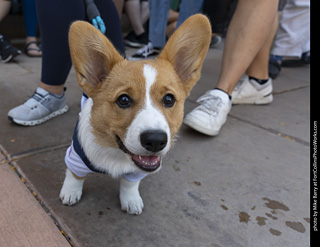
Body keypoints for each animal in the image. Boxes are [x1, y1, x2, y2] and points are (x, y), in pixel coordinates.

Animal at [59, 14, 211, 214]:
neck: (116, 152)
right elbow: (75, 176)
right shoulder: (75, 157)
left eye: (169, 99)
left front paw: (131, 200)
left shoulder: (137, 171)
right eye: (123, 100)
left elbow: (130, 184)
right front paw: (70, 192)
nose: (155, 140)